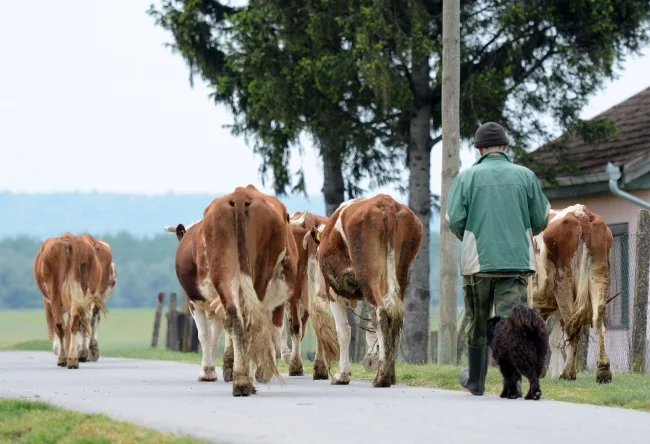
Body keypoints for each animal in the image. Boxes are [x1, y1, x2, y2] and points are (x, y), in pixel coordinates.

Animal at [33, 232, 115, 368]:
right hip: (81, 292)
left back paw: (69, 357)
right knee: (78, 321)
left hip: (57, 291)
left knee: (71, 323)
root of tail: (69, 239)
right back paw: (76, 357)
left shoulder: (47, 301)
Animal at [163, 184, 294, 396]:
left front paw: (208, 371)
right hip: (238, 273)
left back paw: (246, 376)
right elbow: (214, 333)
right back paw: (244, 378)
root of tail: (240, 193)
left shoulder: (194, 302)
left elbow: (207, 335)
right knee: (241, 318)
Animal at [308, 196, 420, 386]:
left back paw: (382, 377)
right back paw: (389, 374)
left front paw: (342, 375)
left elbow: (344, 331)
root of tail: (386, 201)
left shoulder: (334, 293)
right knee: (392, 317)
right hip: (400, 276)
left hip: (369, 278)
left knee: (381, 316)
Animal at [528, 203, 612, 384]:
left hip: (563, 280)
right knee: (598, 320)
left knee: (573, 326)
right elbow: (553, 340)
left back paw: (568, 373)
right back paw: (603, 372)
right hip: (599, 273)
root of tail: (581, 213)